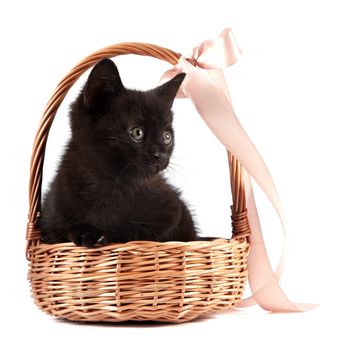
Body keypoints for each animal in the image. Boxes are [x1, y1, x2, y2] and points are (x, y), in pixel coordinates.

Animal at [40, 58, 198, 247]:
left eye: (166, 136)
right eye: (137, 133)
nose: (161, 156)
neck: (110, 184)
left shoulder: (174, 210)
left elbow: (138, 232)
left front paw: (102, 234)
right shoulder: (49, 216)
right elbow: (60, 230)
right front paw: (83, 231)